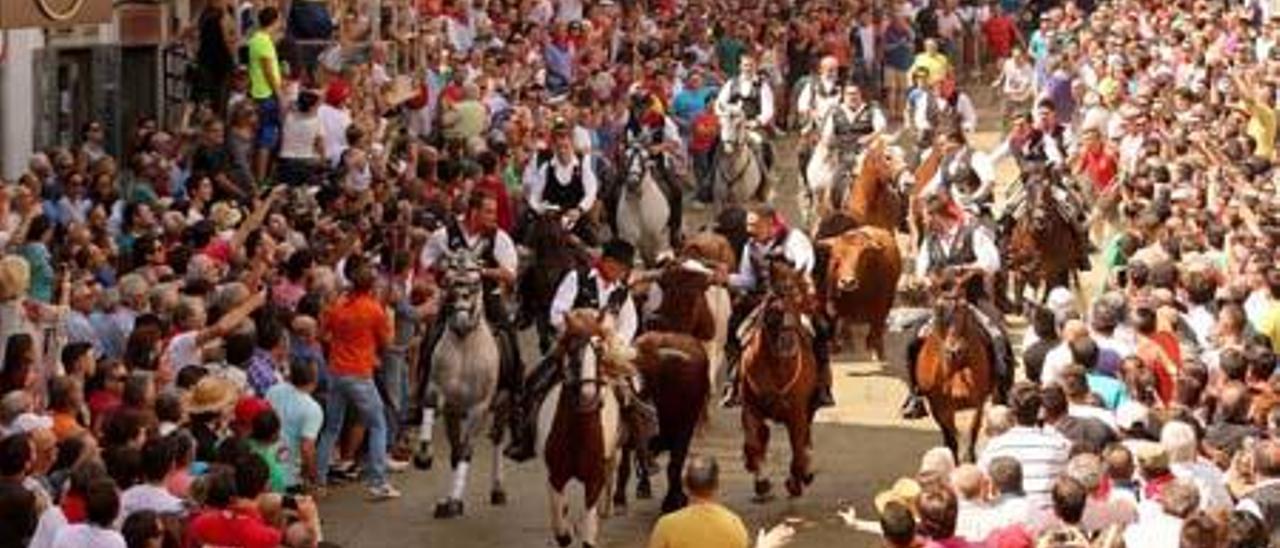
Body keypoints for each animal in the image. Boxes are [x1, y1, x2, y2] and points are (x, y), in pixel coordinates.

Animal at [414, 250, 504, 517]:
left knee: (497, 440)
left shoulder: (479, 408)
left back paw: (498, 490)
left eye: (475, 283)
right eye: (450, 281)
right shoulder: (440, 394)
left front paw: (454, 501)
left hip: (502, 406)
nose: (462, 321)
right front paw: (424, 455)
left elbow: (465, 451)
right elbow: (430, 408)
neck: (465, 347)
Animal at [611, 332, 711, 514]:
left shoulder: (684, 429)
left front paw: (673, 500)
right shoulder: (632, 428)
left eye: (649, 368)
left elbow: (674, 466)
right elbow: (625, 465)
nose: (624, 393)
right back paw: (643, 486)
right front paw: (619, 499)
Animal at [742, 263, 819, 499]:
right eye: (773, 310)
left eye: (798, 304)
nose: (787, 345)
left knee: (806, 440)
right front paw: (761, 481)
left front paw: (796, 481)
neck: (777, 368)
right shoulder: (751, 409)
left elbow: (797, 451)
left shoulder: (797, 413)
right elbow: (753, 444)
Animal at [814, 225, 906, 358]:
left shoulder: (879, 310)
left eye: (862, 257)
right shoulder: (834, 309)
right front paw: (837, 346)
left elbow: (875, 331)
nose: (848, 282)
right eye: (837, 257)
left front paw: (876, 350)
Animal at [916, 274, 993, 463]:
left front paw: (970, 458)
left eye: (964, 307)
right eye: (937, 309)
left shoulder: (978, 401)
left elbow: (972, 429)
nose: (955, 351)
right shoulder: (940, 406)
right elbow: (953, 437)